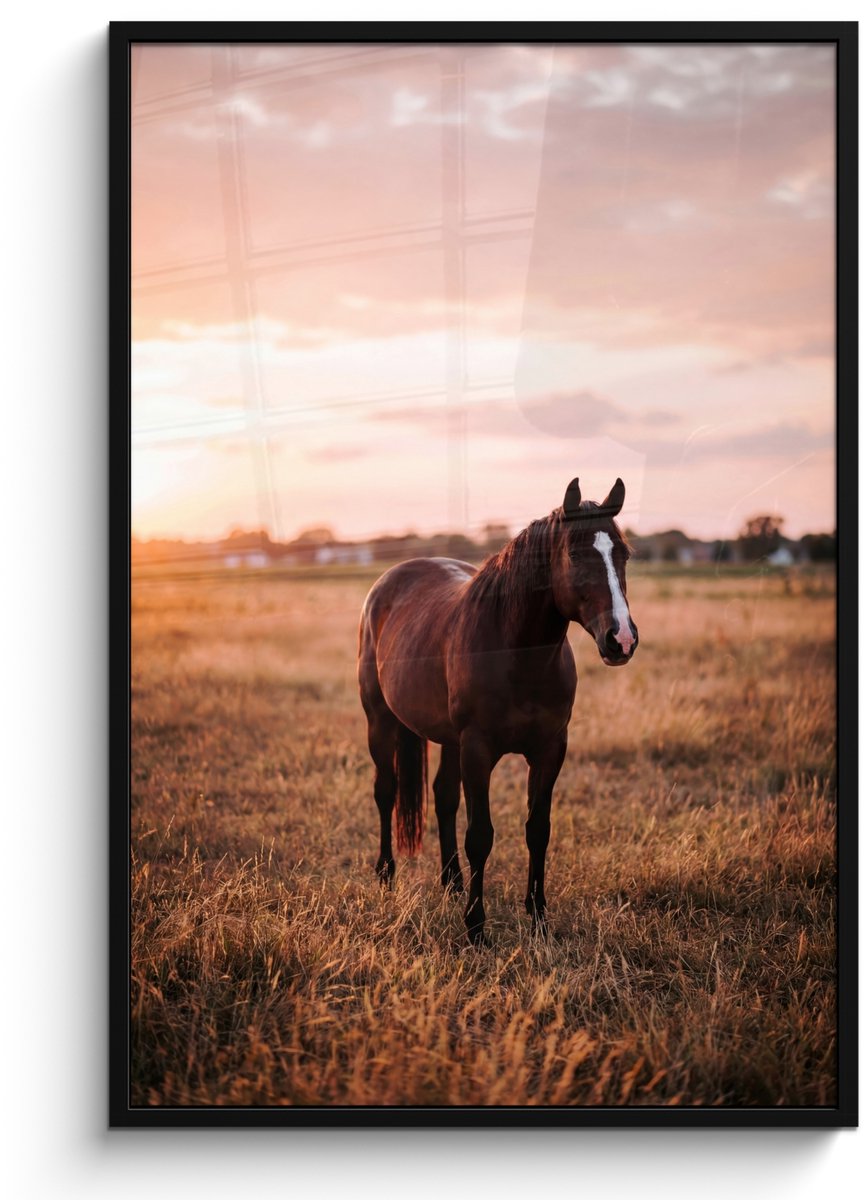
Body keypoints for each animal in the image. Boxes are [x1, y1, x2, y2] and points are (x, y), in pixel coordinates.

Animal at [357, 476, 639, 945]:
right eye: (576, 554)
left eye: (623, 554)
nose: (622, 639)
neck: (516, 653)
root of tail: (390, 580)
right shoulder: (478, 749)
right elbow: (481, 836)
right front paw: (475, 927)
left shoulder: (549, 749)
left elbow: (538, 829)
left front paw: (538, 918)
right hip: (381, 722)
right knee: (386, 791)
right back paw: (386, 874)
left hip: (447, 739)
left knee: (443, 796)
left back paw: (451, 882)